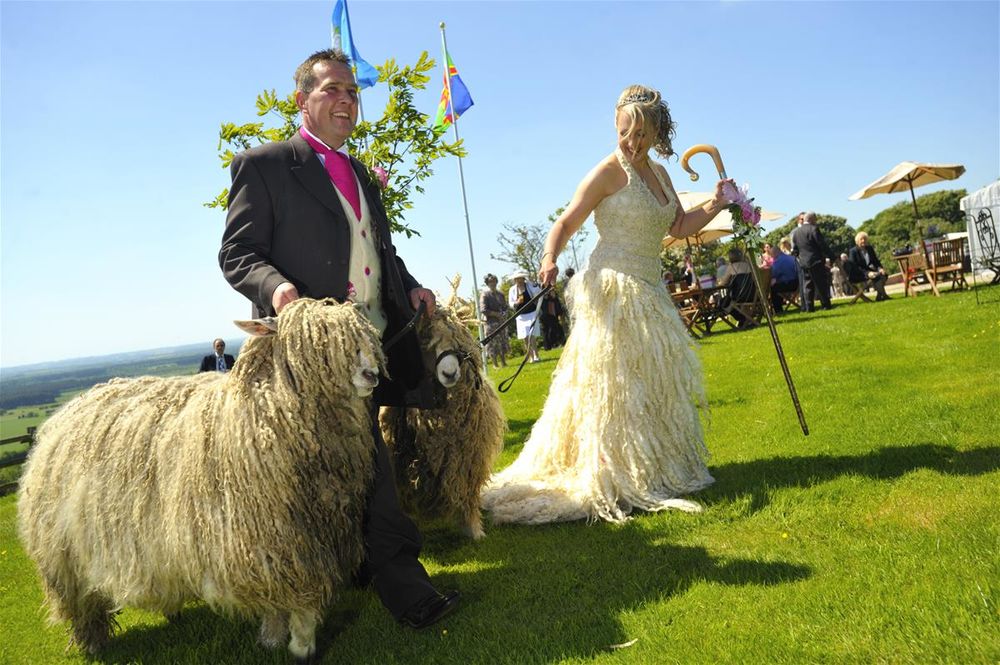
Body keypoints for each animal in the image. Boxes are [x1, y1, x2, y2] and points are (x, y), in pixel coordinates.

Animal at [16, 300, 382, 664]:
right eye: (314, 343)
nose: (372, 375)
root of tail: (62, 415)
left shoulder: (309, 536)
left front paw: (275, 639)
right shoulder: (269, 541)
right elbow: (297, 602)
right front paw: (298, 646)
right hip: (64, 556)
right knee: (81, 606)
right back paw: (92, 644)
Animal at [382, 306, 508, 540]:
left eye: (458, 345)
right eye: (427, 343)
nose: (450, 373)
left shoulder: (466, 459)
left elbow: (467, 493)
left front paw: (474, 530)